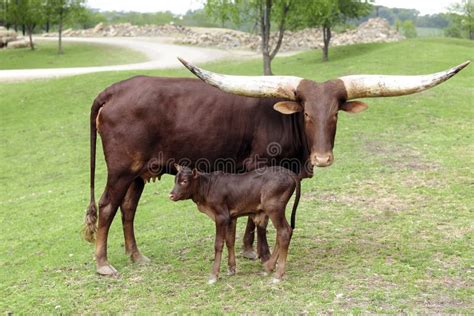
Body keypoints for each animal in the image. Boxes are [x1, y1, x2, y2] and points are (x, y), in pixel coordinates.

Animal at [168, 165, 300, 284]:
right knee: (281, 233)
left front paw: (213, 276)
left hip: (274, 208)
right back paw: (268, 268)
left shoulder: (221, 217)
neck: (206, 188)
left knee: (284, 231)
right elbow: (230, 241)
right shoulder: (231, 217)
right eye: (175, 180)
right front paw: (231, 269)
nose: (171, 195)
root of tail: (287, 172)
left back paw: (278, 275)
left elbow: (218, 244)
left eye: (184, 181)